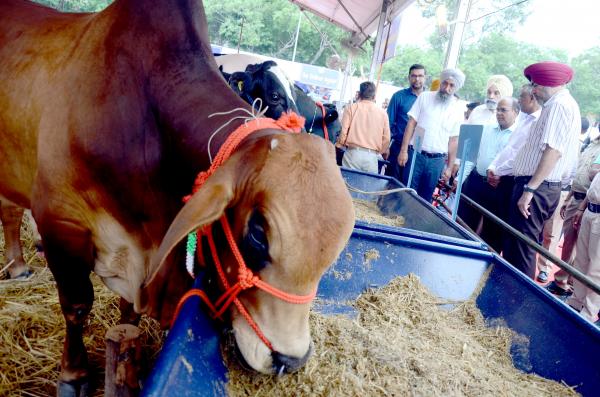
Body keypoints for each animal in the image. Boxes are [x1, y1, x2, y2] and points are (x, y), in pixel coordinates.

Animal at [0, 1, 354, 394]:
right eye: (259, 233)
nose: (290, 360)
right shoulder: (60, 221)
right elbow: (77, 305)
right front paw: (73, 375)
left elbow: (129, 311)